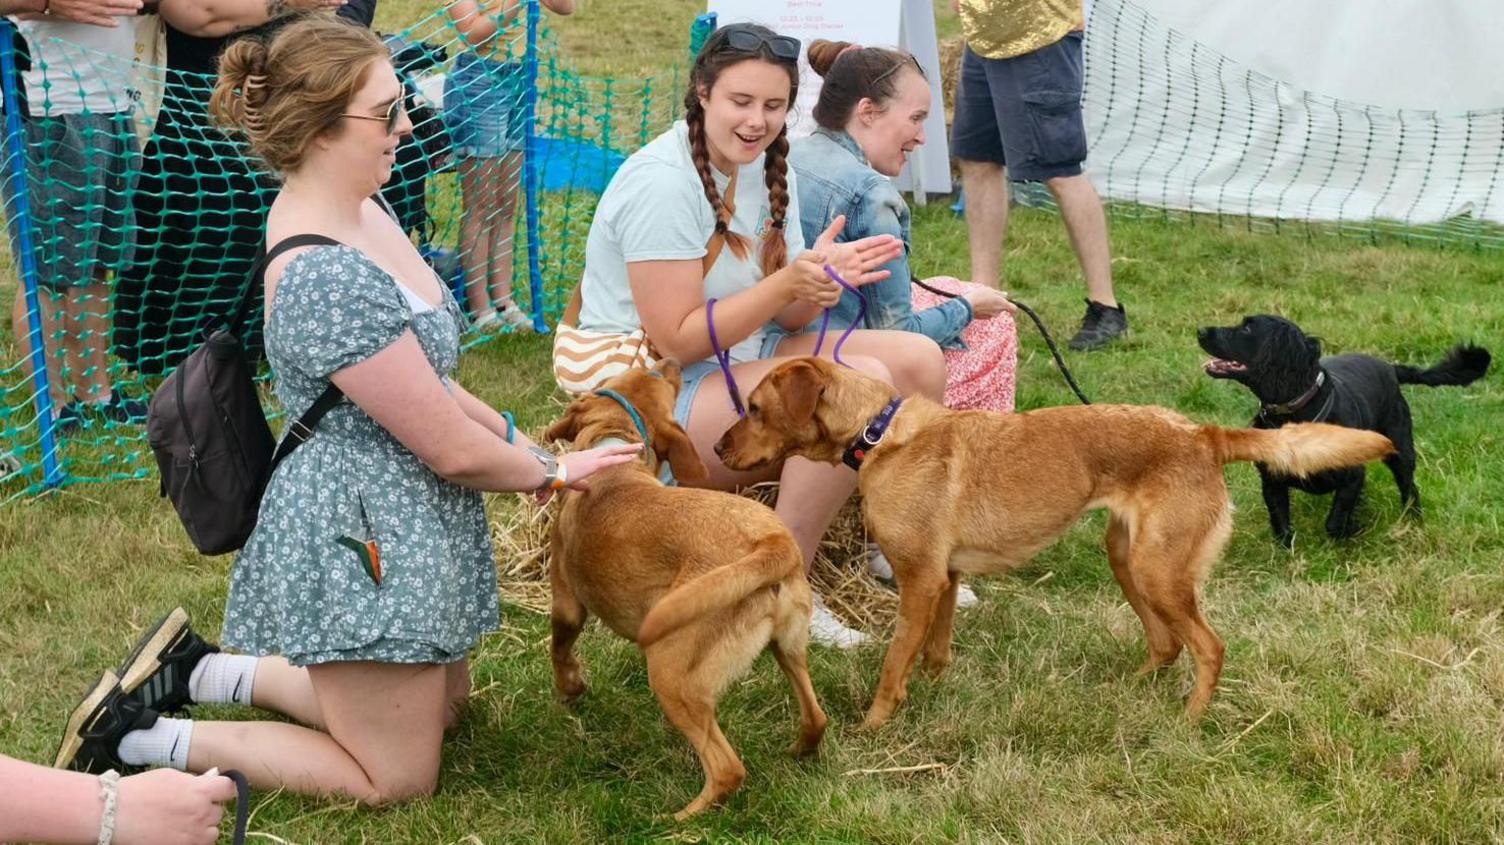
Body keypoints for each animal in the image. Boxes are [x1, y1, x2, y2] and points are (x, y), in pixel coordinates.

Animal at [544, 357, 830, 817]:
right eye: (656, 374)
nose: (671, 360)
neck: (615, 457)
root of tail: (772, 543)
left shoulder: (567, 604)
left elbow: (560, 651)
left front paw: (570, 690)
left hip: (670, 674)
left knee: (727, 769)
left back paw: (677, 818)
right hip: (788, 649)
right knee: (816, 719)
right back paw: (798, 751)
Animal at [709, 354, 1389, 724]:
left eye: (756, 408)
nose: (715, 448)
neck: (881, 433)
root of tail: (1203, 433)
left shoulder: (920, 579)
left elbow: (893, 662)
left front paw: (875, 724)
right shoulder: (945, 578)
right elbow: (933, 652)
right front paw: (931, 691)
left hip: (1159, 571)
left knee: (1209, 647)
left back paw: (1190, 720)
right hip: (1129, 561)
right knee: (1168, 643)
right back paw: (1134, 688)